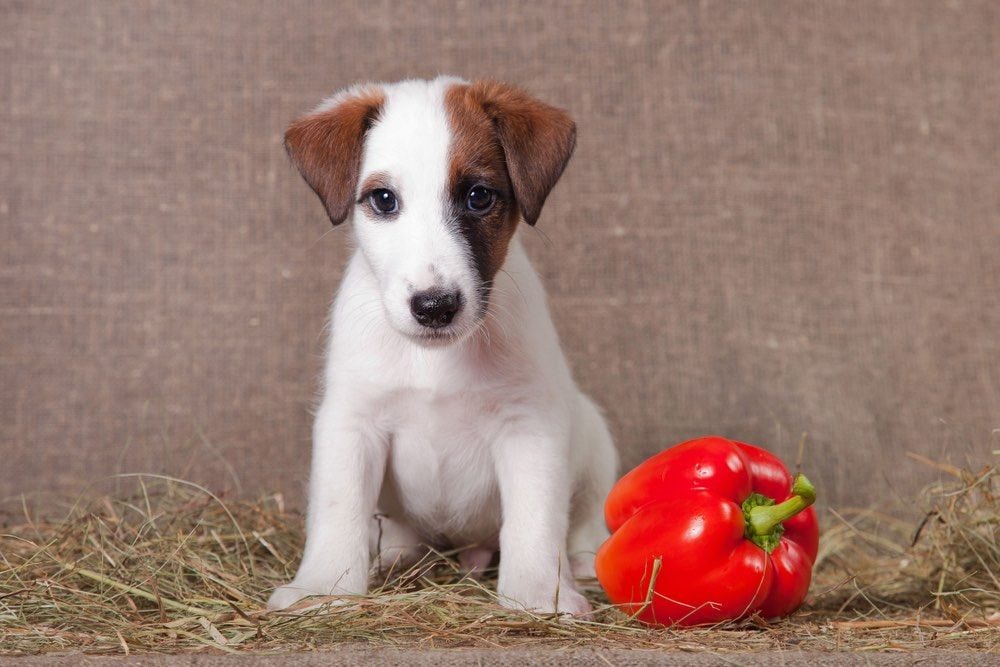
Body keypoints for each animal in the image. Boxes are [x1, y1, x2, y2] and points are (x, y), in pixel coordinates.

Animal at [270, 74, 620, 616]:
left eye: (478, 196)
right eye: (384, 200)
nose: (434, 306)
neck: (434, 361)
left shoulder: (530, 427)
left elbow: (534, 522)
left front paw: (539, 593)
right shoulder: (351, 422)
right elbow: (338, 510)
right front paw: (323, 586)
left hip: (593, 438)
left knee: (581, 521)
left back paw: (583, 561)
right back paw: (395, 557)